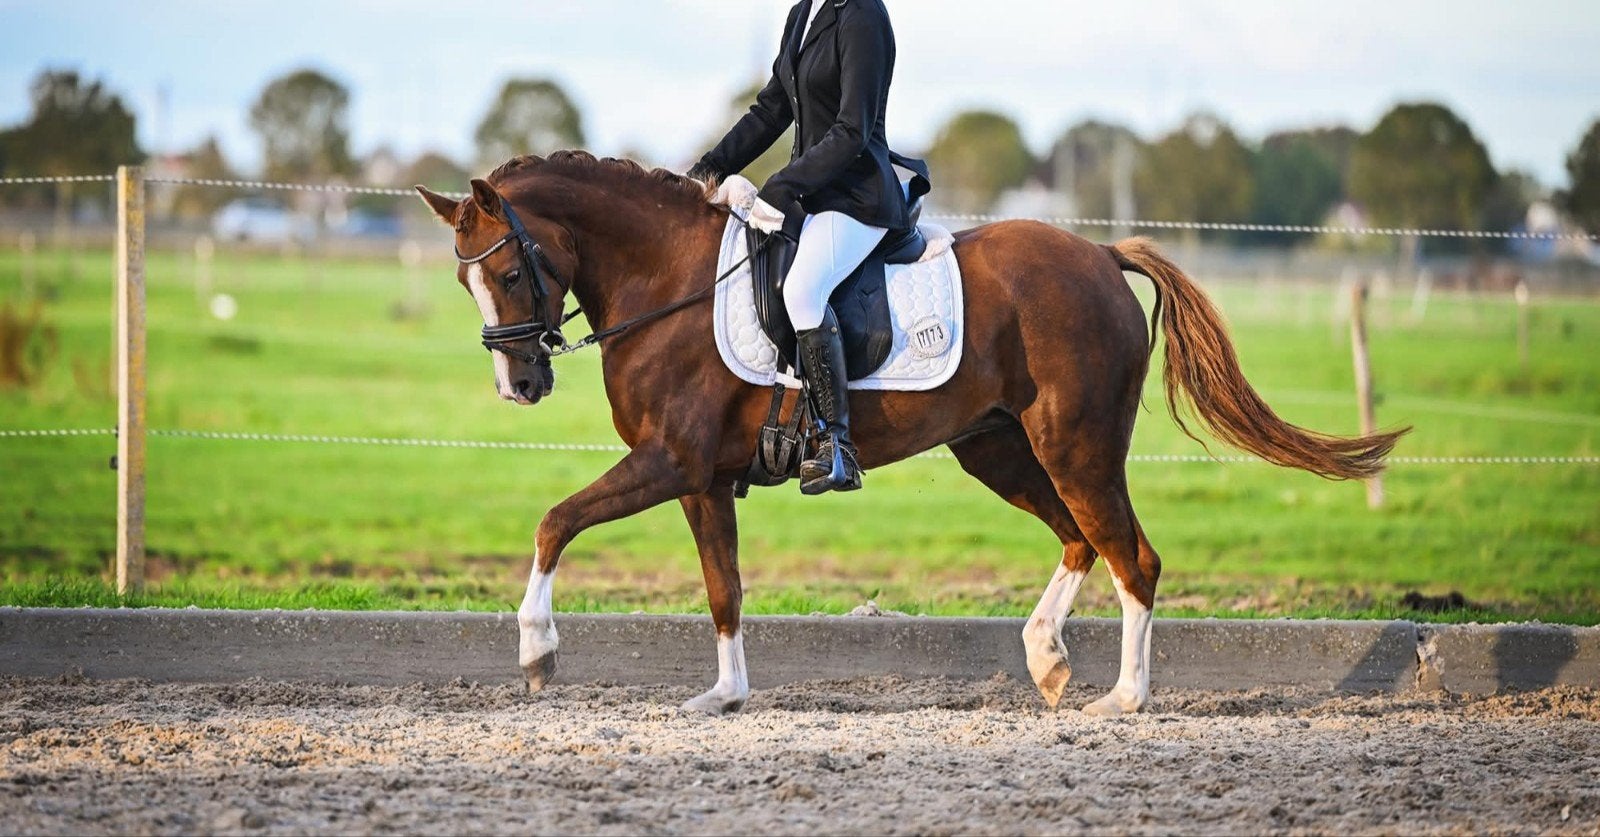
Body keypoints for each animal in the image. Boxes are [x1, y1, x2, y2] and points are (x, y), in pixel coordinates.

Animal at [415, 150, 1406, 716]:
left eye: (509, 269)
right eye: (465, 280)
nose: (519, 384)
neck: (672, 282)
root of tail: (1098, 252)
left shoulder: (669, 460)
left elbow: (554, 520)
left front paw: (538, 653)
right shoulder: (701, 477)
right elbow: (723, 588)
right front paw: (725, 695)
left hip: (1075, 446)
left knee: (1133, 555)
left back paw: (1125, 697)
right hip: (998, 446)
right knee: (1083, 539)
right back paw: (1047, 661)